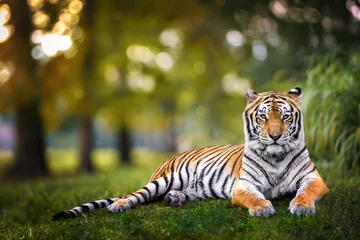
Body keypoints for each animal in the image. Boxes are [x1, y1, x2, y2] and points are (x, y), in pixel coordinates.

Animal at [52, 87, 330, 220]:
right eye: (262, 117)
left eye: (285, 117)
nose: (274, 136)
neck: (275, 157)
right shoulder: (244, 185)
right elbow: (253, 197)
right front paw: (262, 208)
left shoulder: (313, 178)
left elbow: (306, 191)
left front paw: (302, 207)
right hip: (165, 179)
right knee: (137, 195)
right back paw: (119, 206)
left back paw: (175, 198)